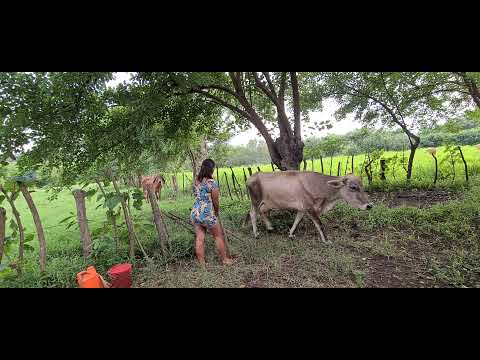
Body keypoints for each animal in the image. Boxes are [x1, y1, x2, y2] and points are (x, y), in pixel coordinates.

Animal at [246, 170, 374, 243]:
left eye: (362, 185)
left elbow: (297, 221)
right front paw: (326, 241)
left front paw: (291, 234)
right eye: (353, 187)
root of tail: (251, 177)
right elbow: (319, 224)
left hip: (266, 203)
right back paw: (256, 234)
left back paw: (270, 227)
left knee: (262, 212)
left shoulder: (302, 209)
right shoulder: (310, 208)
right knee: (253, 213)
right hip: (256, 200)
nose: (369, 205)